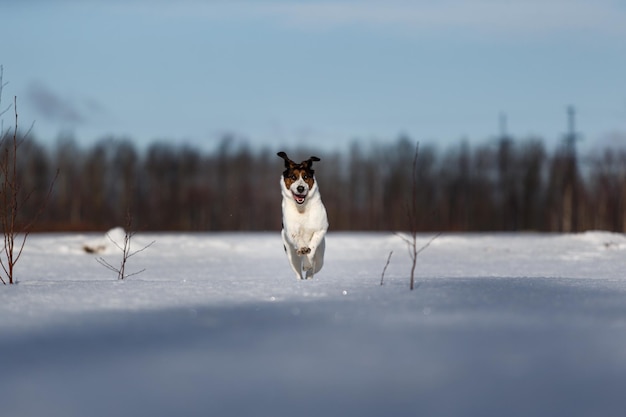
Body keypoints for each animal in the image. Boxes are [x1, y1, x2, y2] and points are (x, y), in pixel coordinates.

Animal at [276, 150, 330, 280]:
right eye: (293, 177)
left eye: (305, 177)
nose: (300, 188)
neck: (302, 208)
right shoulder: (291, 229)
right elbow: (298, 238)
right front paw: (302, 248)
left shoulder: (321, 229)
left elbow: (313, 245)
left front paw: (307, 263)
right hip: (291, 254)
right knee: (298, 272)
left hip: (320, 259)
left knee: (313, 269)